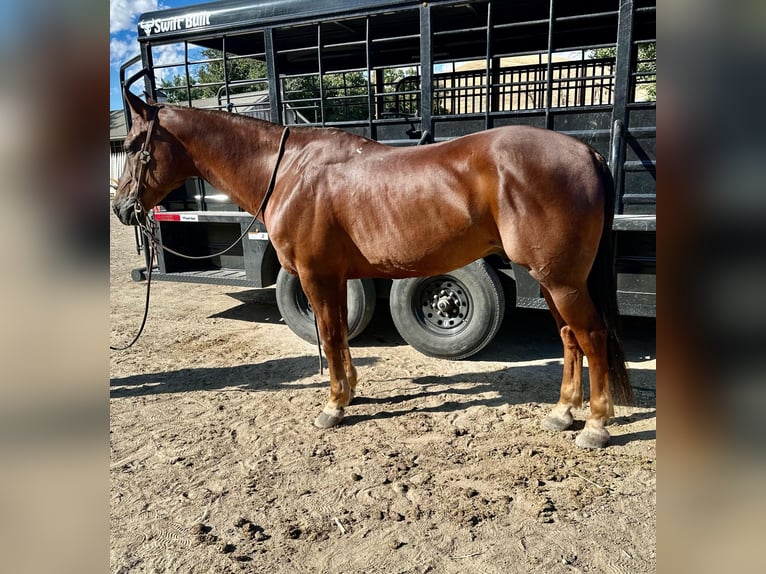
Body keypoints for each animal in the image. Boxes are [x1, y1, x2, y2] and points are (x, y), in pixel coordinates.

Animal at [112, 91, 632, 450]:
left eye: (135, 146)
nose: (121, 208)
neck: (290, 172)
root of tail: (586, 152)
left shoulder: (316, 275)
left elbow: (329, 335)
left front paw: (333, 406)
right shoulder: (336, 277)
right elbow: (340, 334)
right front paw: (351, 394)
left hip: (562, 281)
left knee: (591, 336)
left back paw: (595, 426)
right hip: (552, 281)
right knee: (569, 338)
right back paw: (563, 413)